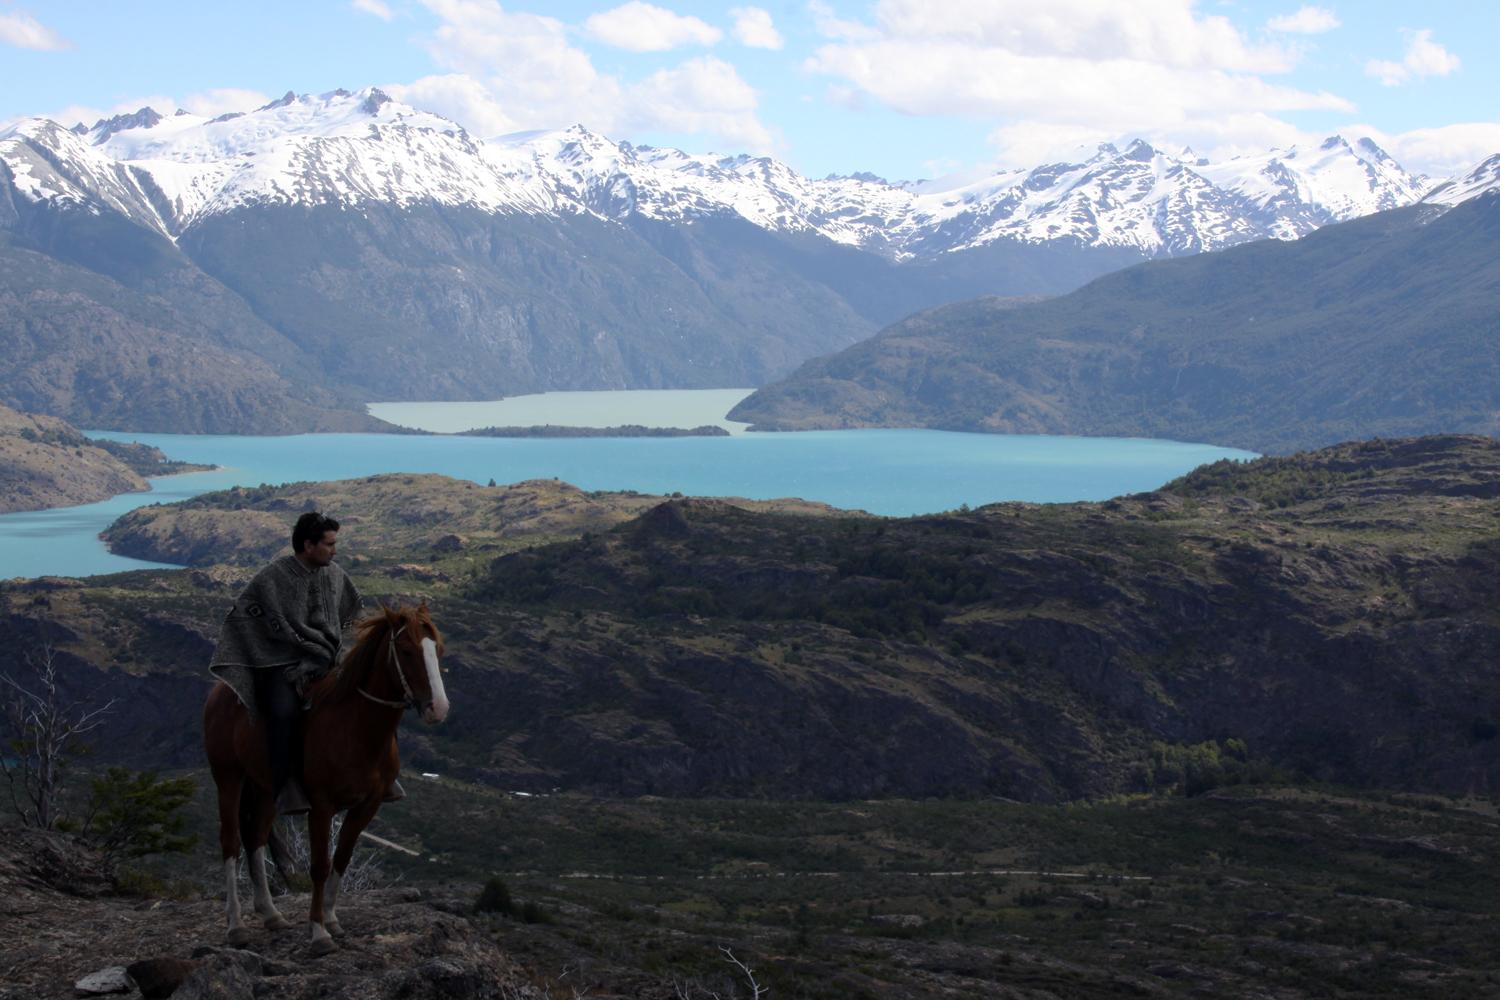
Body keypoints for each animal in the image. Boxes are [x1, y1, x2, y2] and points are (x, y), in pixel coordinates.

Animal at [205, 602, 450, 953]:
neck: (357, 729)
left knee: (256, 838)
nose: (438, 708)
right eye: (405, 651)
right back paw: (236, 925)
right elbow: (320, 865)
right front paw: (319, 931)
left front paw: (332, 919)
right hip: (228, 777)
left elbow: (342, 857)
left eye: (438, 650)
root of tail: (220, 692)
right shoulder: (321, 806)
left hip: (265, 790)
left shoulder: (367, 805)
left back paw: (270, 914)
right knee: (231, 841)